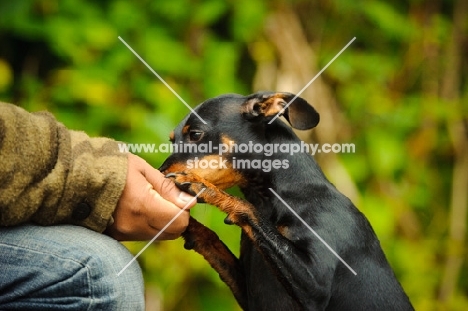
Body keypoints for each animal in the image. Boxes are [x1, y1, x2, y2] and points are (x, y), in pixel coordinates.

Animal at [160, 92, 414, 311]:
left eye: (195, 134)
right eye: (172, 140)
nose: (160, 173)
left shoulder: (314, 286)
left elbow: (247, 209)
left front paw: (201, 187)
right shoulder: (248, 292)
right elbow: (213, 241)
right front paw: (189, 227)